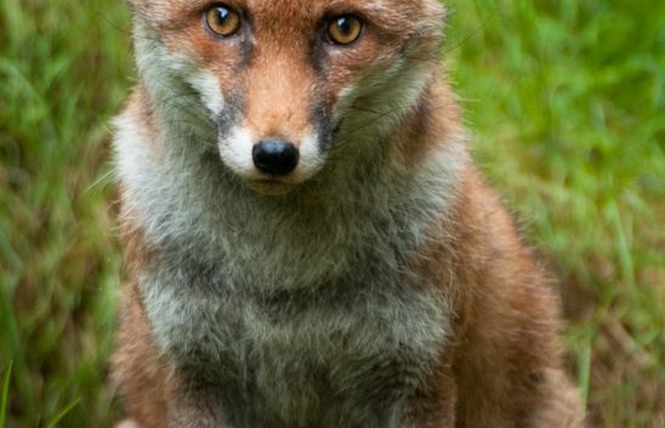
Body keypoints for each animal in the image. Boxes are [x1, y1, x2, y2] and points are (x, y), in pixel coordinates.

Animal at [110, 0, 588, 424]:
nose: (275, 155)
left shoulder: (418, 374)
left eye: (344, 28)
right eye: (222, 18)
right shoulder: (193, 370)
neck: (281, 281)